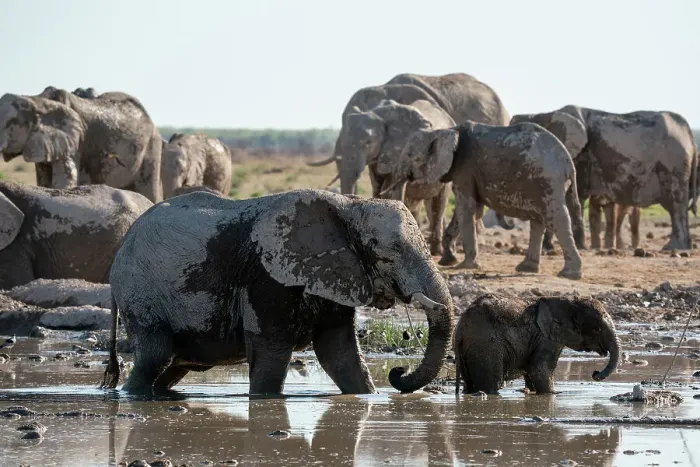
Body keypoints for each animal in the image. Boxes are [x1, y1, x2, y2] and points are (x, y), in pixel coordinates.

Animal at [100, 189, 454, 396]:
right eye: (388, 253)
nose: (398, 372)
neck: (350, 204)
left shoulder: (336, 272)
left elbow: (339, 352)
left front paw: (367, 397)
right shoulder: (265, 275)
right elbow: (272, 349)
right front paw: (265, 402)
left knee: (171, 366)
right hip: (140, 291)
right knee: (154, 356)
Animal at [333, 99, 456, 254]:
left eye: (368, 143)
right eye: (342, 143)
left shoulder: (398, 151)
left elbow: (394, 187)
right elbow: (377, 187)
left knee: (439, 204)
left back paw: (437, 251)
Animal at [385, 121, 583, 279]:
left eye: (412, 156)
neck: (443, 130)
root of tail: (569, 162)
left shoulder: (465, 167)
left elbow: (467, 208)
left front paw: (464, 266)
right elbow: (468, 209)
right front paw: (448, 261)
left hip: (549, 180)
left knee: (556, 216)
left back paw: (569, 274)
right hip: (541, 182)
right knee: (538, 219)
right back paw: (526, 268)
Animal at [453, 293, 620, 394]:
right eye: (597, 329)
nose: (595, 373)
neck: (568, 301)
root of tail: (461, 328)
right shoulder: (546, 339)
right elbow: (539, 370)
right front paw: (554, 394)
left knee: (469, 384)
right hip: (486, 346)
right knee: (492, 384)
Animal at [511, 106, 698, 250]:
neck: (545, 113)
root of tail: (690, 135)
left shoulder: (577, 157)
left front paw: (570, 248)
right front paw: (549, 248)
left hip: (674, 164)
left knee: (675, 204)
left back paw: (673, 247)